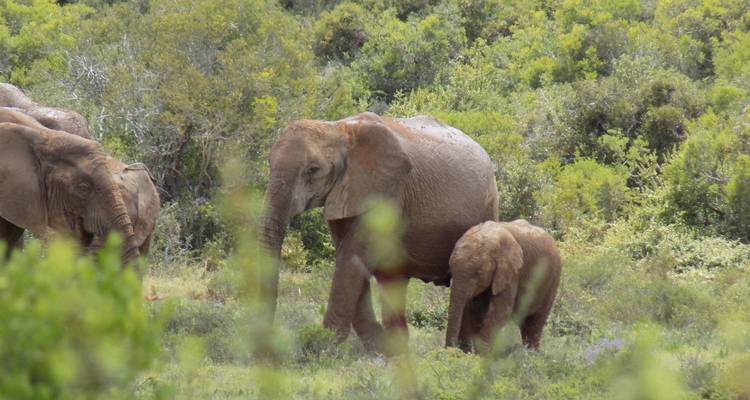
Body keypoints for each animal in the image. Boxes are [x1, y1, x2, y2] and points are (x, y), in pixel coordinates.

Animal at [261, 112, 498, 352]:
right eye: (270, 164)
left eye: (313, 169)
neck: (338, 128)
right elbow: (351, 257)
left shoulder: (386, 191)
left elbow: (352, 256)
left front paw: (322, 348)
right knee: (394, 279)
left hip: (488, 206)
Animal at [445, 220, 561, 353]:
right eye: (451, 271)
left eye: (478, 274)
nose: (451, 351)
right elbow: (475, 309)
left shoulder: (513, 272)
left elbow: (502, 310)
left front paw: (481, 354)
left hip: (552, 279)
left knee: (536, 321)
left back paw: (531, 353)